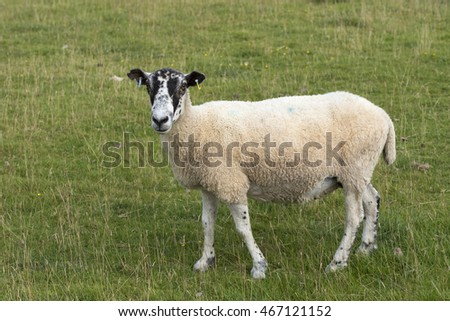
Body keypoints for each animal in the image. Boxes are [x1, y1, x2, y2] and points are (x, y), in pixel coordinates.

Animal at [127, 67, 398, 278]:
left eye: (183, 87)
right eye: (148, 86)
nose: (160, 120)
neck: (198, 124)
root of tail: (384, 116)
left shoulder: (231, 182)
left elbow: (242, 227)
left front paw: (259, 266)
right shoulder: (210, 183)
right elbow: (207, 223)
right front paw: (205, 262)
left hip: (354, 168)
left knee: (354, 217)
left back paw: (337, 263)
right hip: (357, 173)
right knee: (372, 200)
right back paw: (365, 249)